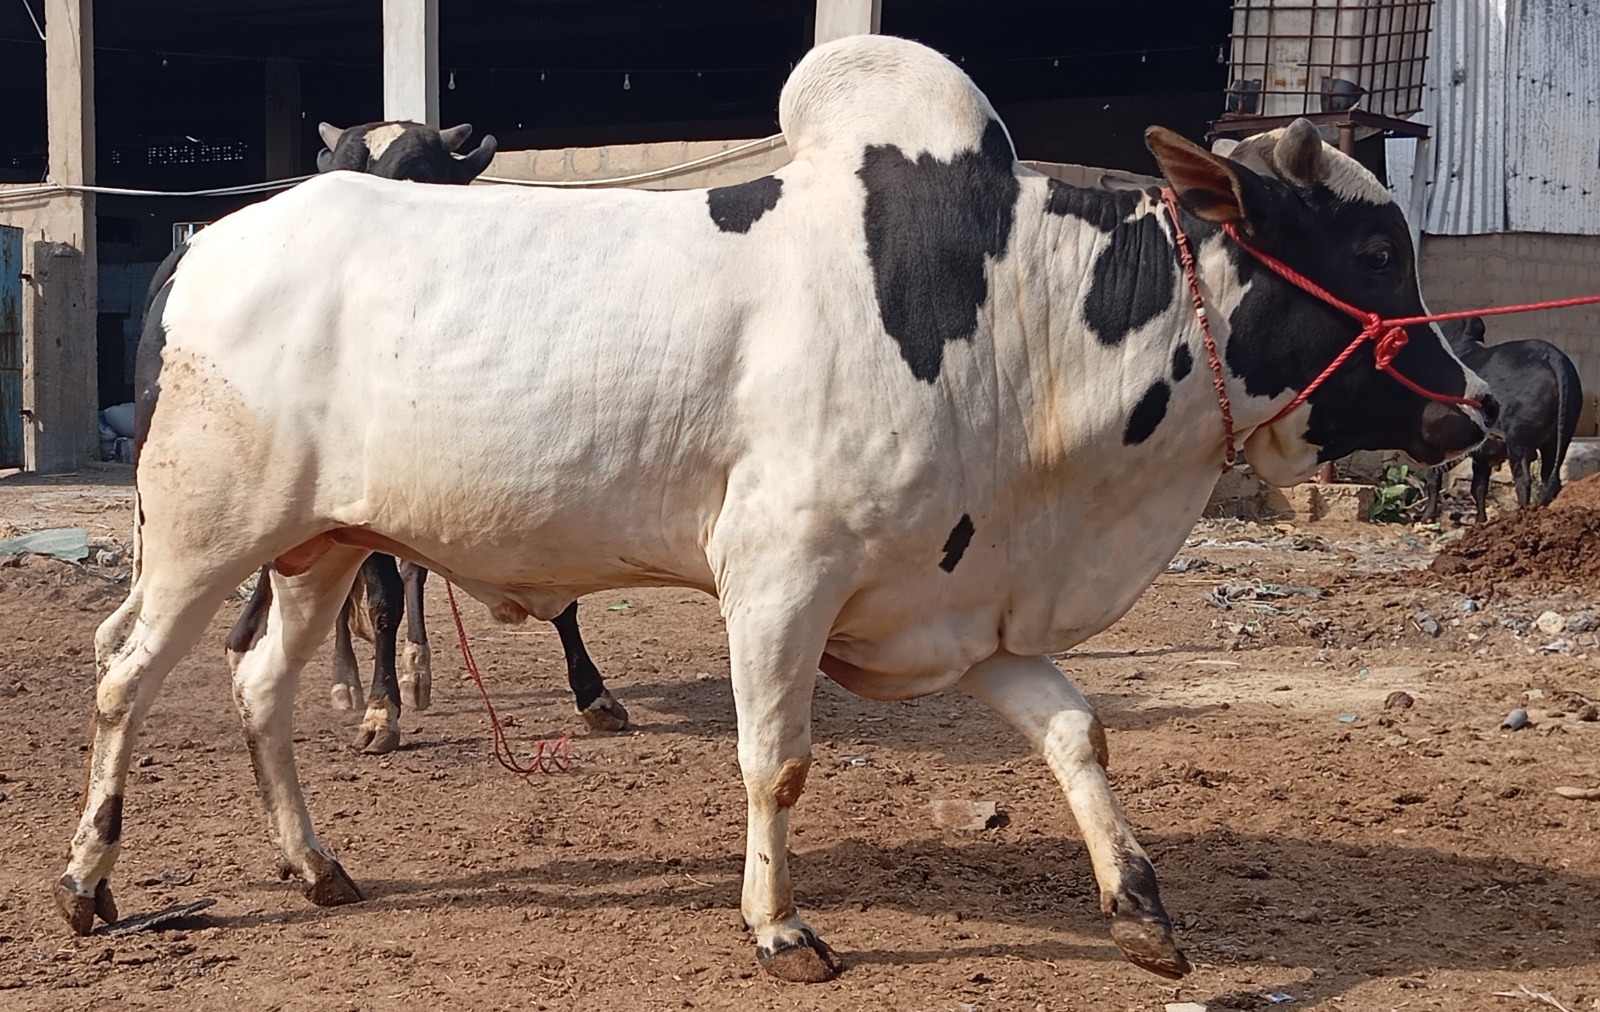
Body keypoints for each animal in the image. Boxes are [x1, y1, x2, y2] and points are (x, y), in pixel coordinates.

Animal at [56, 35, 1492, 983]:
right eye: (1373, 251)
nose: (1472, 401)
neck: (1005, 314)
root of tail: (212, 239)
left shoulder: (968, 602)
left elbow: (1077, 733)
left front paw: (1140, 907)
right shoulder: (780, 575)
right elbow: (776, 759)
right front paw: (780, 925)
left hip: (321, 546)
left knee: (258, 686)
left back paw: (315, 864)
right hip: (202, 533)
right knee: (122, 674)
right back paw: (87, 883)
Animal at [1421, 315, 1583, 523]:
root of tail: (1552, 355)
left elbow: (1434, 478)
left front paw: (1427, 517)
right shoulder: (1482, 455)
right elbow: (1478, 487)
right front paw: (1480, 521)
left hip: (1518, 441)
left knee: (1523, 480)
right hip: (1557, 441)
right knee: (1550, 480)